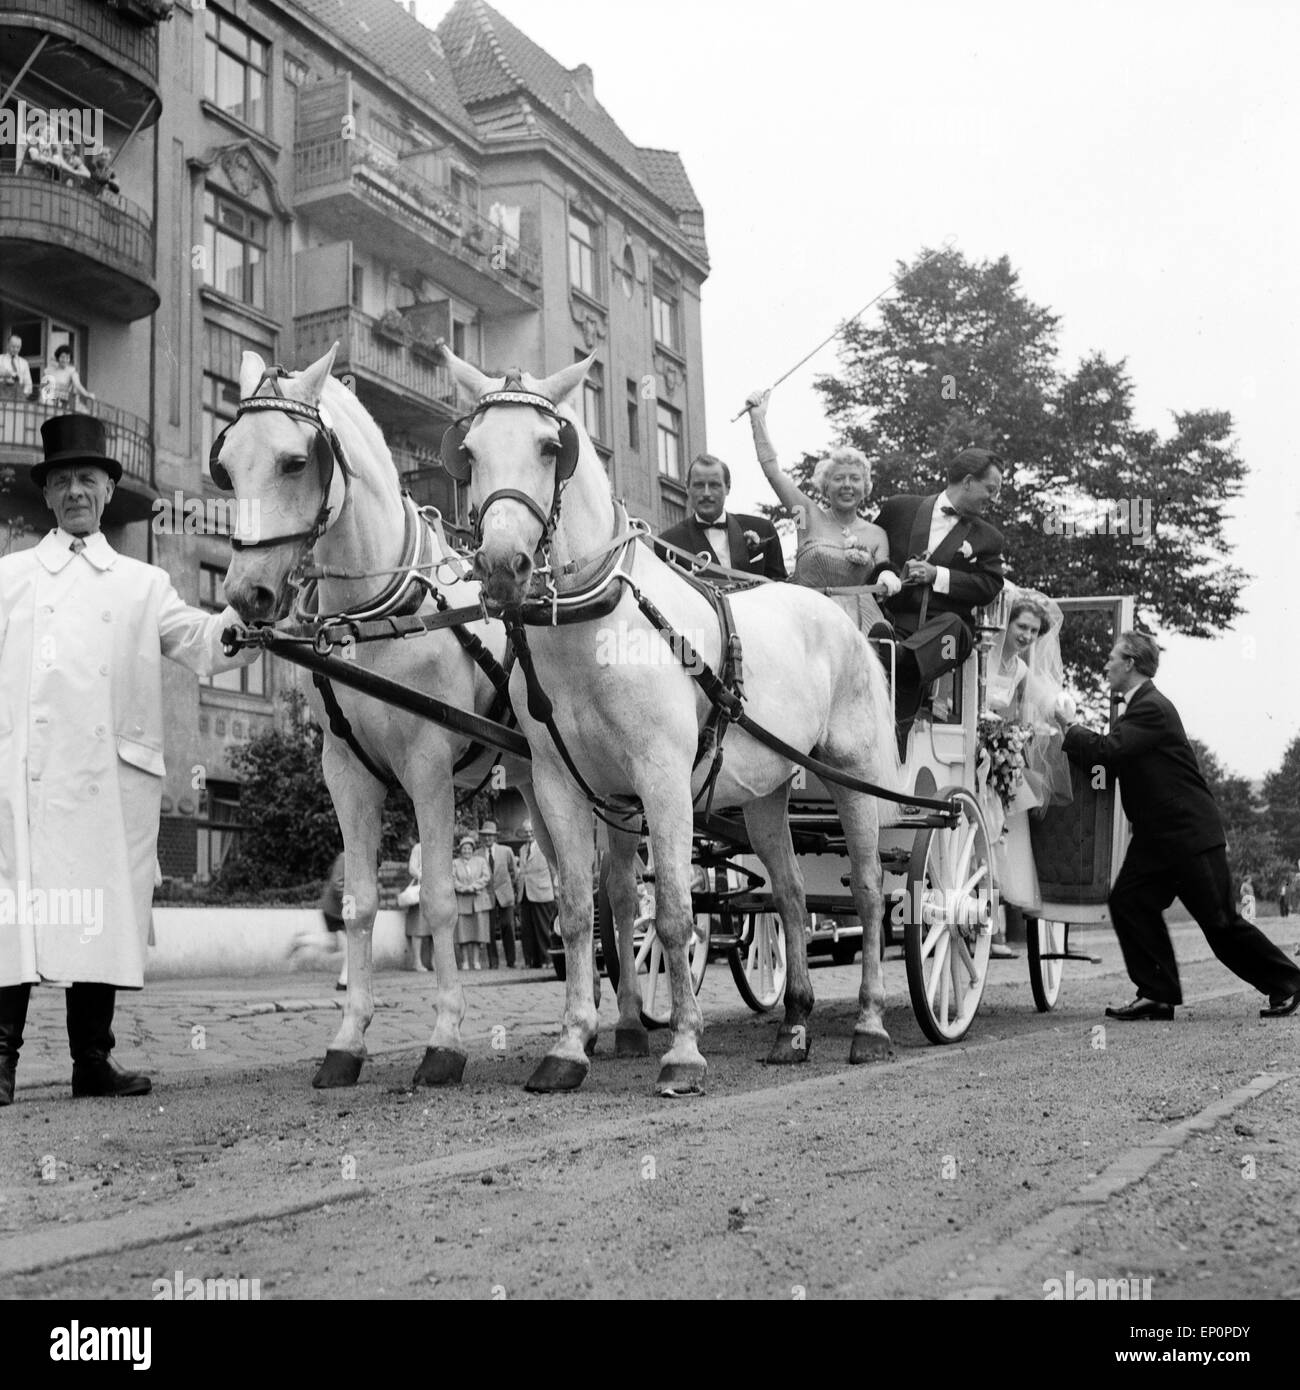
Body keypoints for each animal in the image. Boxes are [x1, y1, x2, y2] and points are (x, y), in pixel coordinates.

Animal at [218, 344, 539, 1084]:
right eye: (227, 463)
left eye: (295, 461)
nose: (246, 595)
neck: (374, 617)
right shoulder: (346, 770)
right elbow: (361, 903)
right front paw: (348, 1039)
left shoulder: (428, 768)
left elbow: (444, 902)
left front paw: (444, 1040)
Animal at [442, 344, 912, 1095]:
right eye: (470, 450)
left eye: (551, 447)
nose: (501, 566)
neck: (593, 626)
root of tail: (834, 610)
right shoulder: (558, 784)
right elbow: (578, 915)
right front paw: (570, 1046)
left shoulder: (661, 780)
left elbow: (671, 915)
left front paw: (683, 1050)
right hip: (766, 793)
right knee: (790, 898)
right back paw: (794, 1026)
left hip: (853, 776)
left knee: (868, 895)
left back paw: (869, 1025)